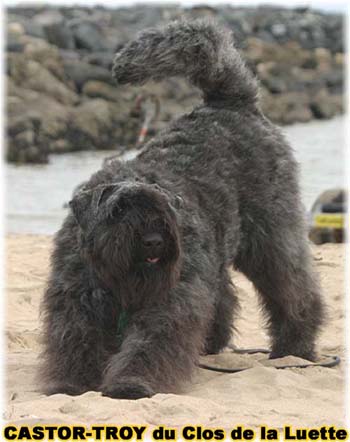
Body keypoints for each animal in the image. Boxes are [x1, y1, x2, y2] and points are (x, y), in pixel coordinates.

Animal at [39, 19, 324, 400]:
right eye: (118, 211)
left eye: (162, 211)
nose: (153, 241)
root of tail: (233, 102)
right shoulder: (75, 301)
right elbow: (75, 342)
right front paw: (69, 383)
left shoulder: (168, 302)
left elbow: (148, 344)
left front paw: (131, 383)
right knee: (224, 296)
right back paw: (212, 345)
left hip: (272, 236)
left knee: (294, 289)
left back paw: (295, 347)